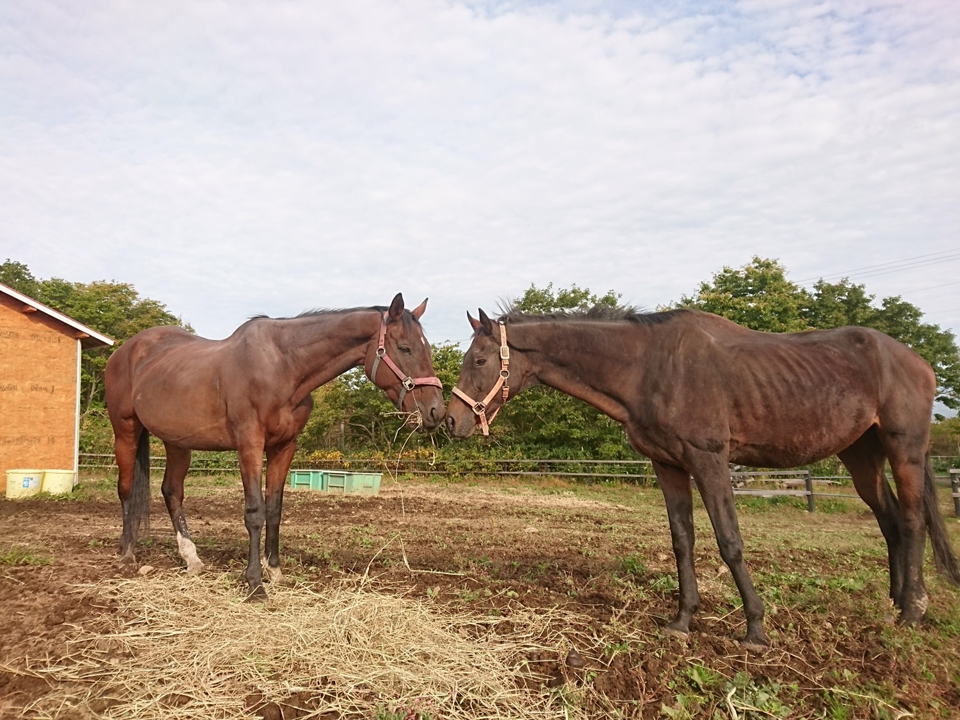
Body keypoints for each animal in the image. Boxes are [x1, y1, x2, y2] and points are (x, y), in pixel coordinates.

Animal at [106, 292, 446, 596]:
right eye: (405, 348)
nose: (436, 411)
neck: (283, 366)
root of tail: (126, 350)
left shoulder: (284, 447)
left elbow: (274, 509)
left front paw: (275, 572)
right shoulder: (250, 444)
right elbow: (255, 512)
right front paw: (255, 584)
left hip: (177, 441)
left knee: (172, 491)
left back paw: (191, 558)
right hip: (125, 429)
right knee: (126, 489)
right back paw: (127, 555)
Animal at [446, 306, 956, 648]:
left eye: (479, 361)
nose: (451, 421)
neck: (649, 366)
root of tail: (916, 360)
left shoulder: (710, 461)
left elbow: (730, 541)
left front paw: (755, 628)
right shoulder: (668, 465)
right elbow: (682, 540)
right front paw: (682, 620)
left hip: (905, 448)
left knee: (913, 521)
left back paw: (914, 610)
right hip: (861, 455)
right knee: (890, 522)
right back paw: (894, 605)